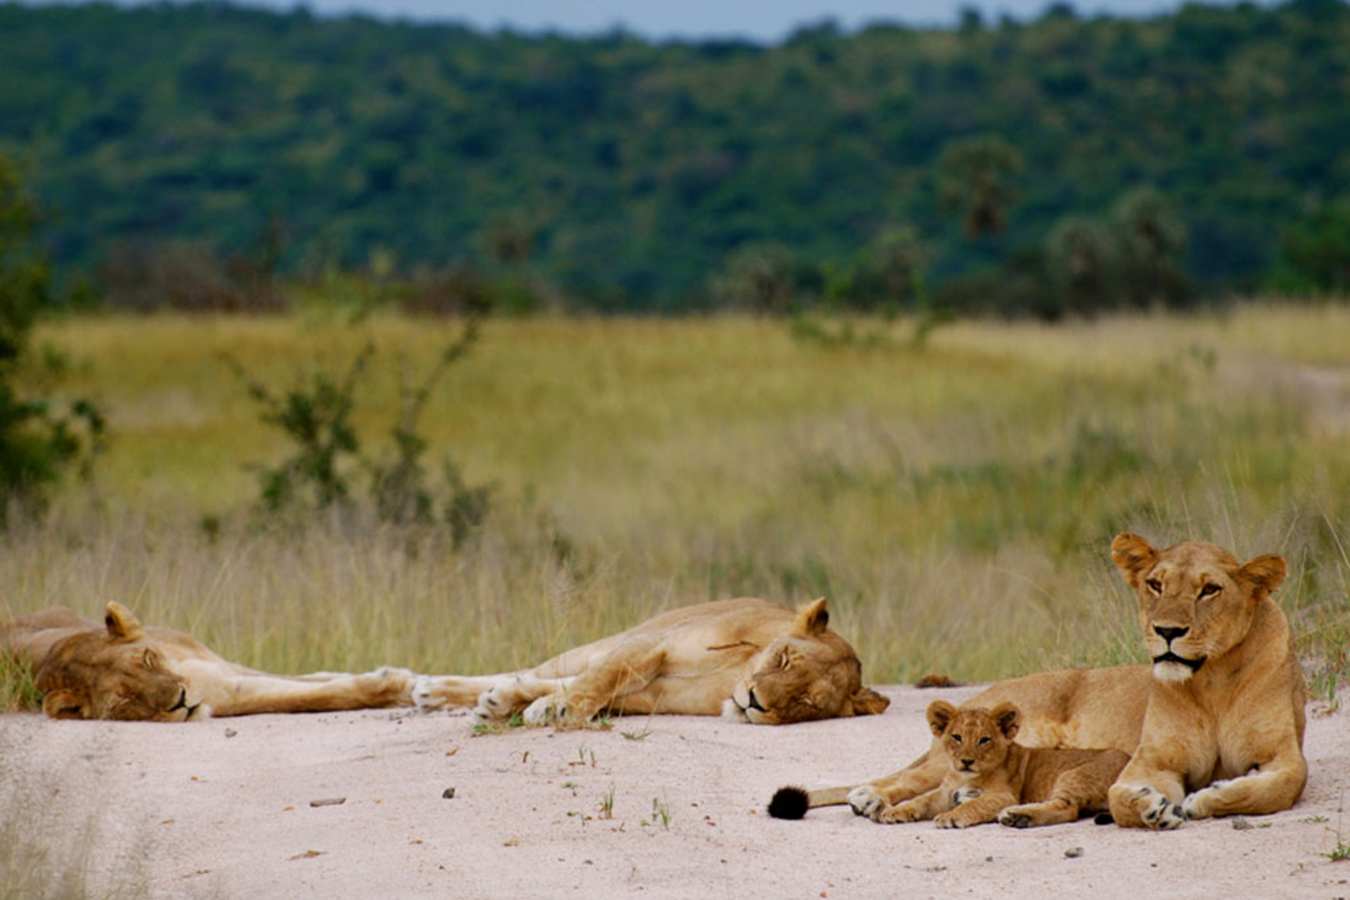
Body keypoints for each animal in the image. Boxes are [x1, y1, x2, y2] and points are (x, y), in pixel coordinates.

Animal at [2, 602, 416, 721]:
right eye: (125, 701)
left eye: (148, 660)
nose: (181, 700)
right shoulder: (228, 690)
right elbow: (311, 695)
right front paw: (394, 685)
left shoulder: (220, 669)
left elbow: (311, 685)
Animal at [412, 597, 890, 726]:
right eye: (786, 659)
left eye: (807, 703)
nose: (755, 701)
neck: (732, 676)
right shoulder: (652, 644)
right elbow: (603, 677)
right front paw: (562, 709)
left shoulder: (651, 696)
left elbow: (593, 688)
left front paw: (547, 706)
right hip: (606, 641)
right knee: (534, 671)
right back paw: (428, 690)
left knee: (533, 679)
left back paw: (498, 701)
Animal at [863, 700, 1128, 829]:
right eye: (957, 737)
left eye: (984, 740)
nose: (966, 761)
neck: (966, 776)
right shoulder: (945, 793)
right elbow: (921, 800)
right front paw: (894, 811)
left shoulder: (1003, 796)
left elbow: (975, 804)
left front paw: (951, 817)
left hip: (1073, 775)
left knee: (1067, 808)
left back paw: (1017, 816)